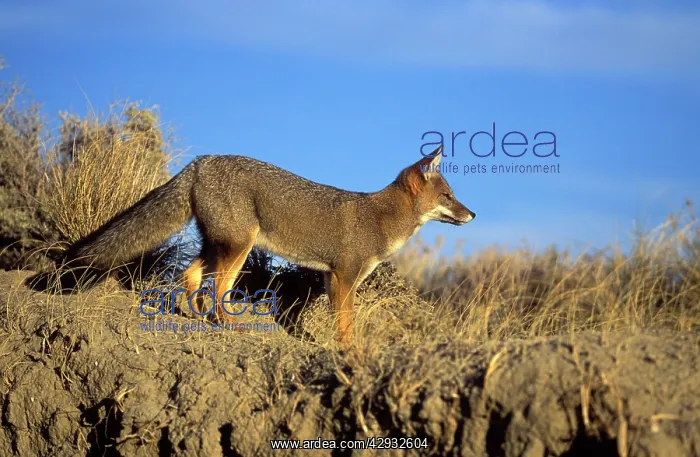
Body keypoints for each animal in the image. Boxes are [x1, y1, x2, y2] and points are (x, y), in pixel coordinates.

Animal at [64, 145, 475, 346]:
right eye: (449, 196)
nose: (472, 213)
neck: (380, 216)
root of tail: (201, 161)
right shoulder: (344, 278)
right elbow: (346, 325)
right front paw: (350, 355)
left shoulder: (333, 279)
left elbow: (341, 323)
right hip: (239, 247)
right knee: (219, 288)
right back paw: (228, 323)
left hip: (219, 244)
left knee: (190, 276)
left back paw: (198, 316)